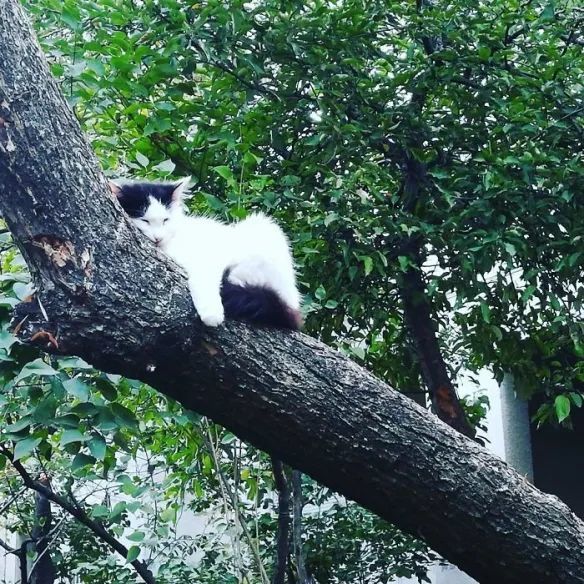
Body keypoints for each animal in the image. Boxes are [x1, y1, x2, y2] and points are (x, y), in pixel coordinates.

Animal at [110, 177, 302, 328]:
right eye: (144, 220)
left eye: (165, 220)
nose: (158, 237)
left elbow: (204, 278)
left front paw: (211, 314)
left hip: (263, 228)